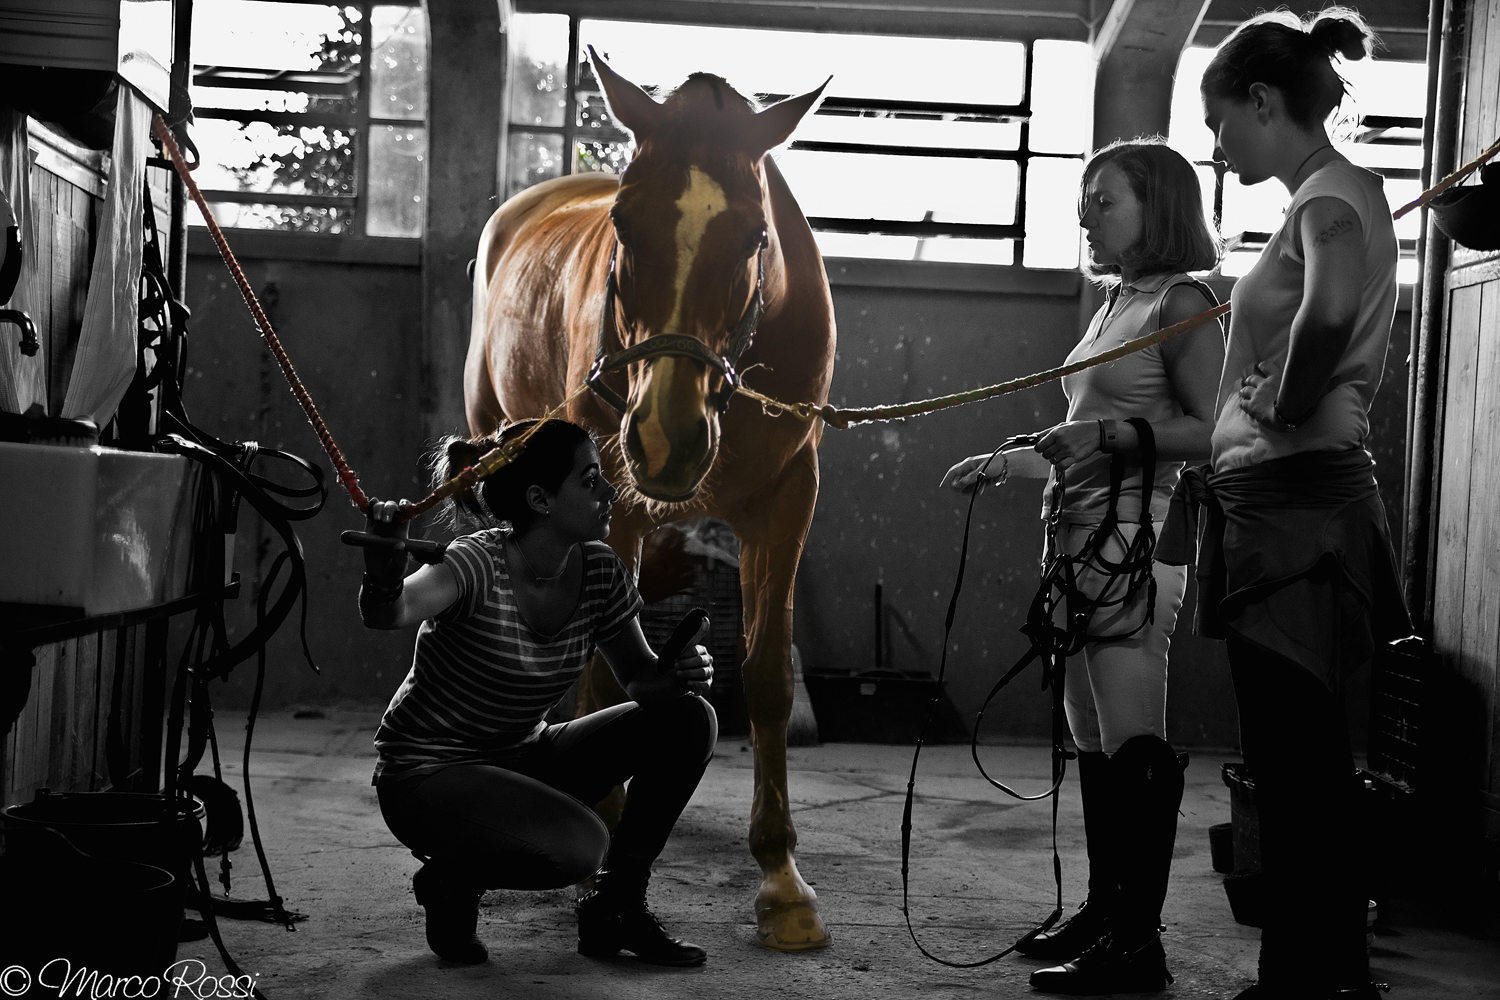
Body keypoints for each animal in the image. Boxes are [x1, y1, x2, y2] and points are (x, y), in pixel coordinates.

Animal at [464, 52, 837, 951]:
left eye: (755, 236)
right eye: (625, 227)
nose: (667, 440)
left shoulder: (787, 500)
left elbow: (767, 675)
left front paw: (782, 882)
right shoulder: (613, 508)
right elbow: (604, 666)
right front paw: (603, 826)